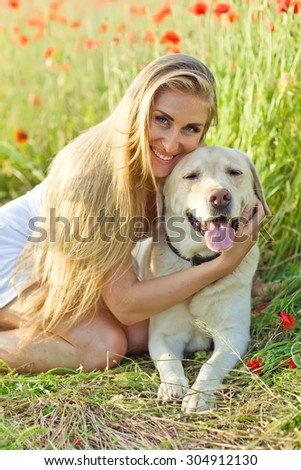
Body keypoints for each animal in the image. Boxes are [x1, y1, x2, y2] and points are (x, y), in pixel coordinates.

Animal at [148, 146, 270, 412]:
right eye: (191, 176)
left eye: (234, 172)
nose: (220, 196)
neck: (202, 261)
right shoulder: (162, 335)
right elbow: (168, 360)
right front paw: (173, 385)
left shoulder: (232, 333)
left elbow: (211, 365)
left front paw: (199, 394)